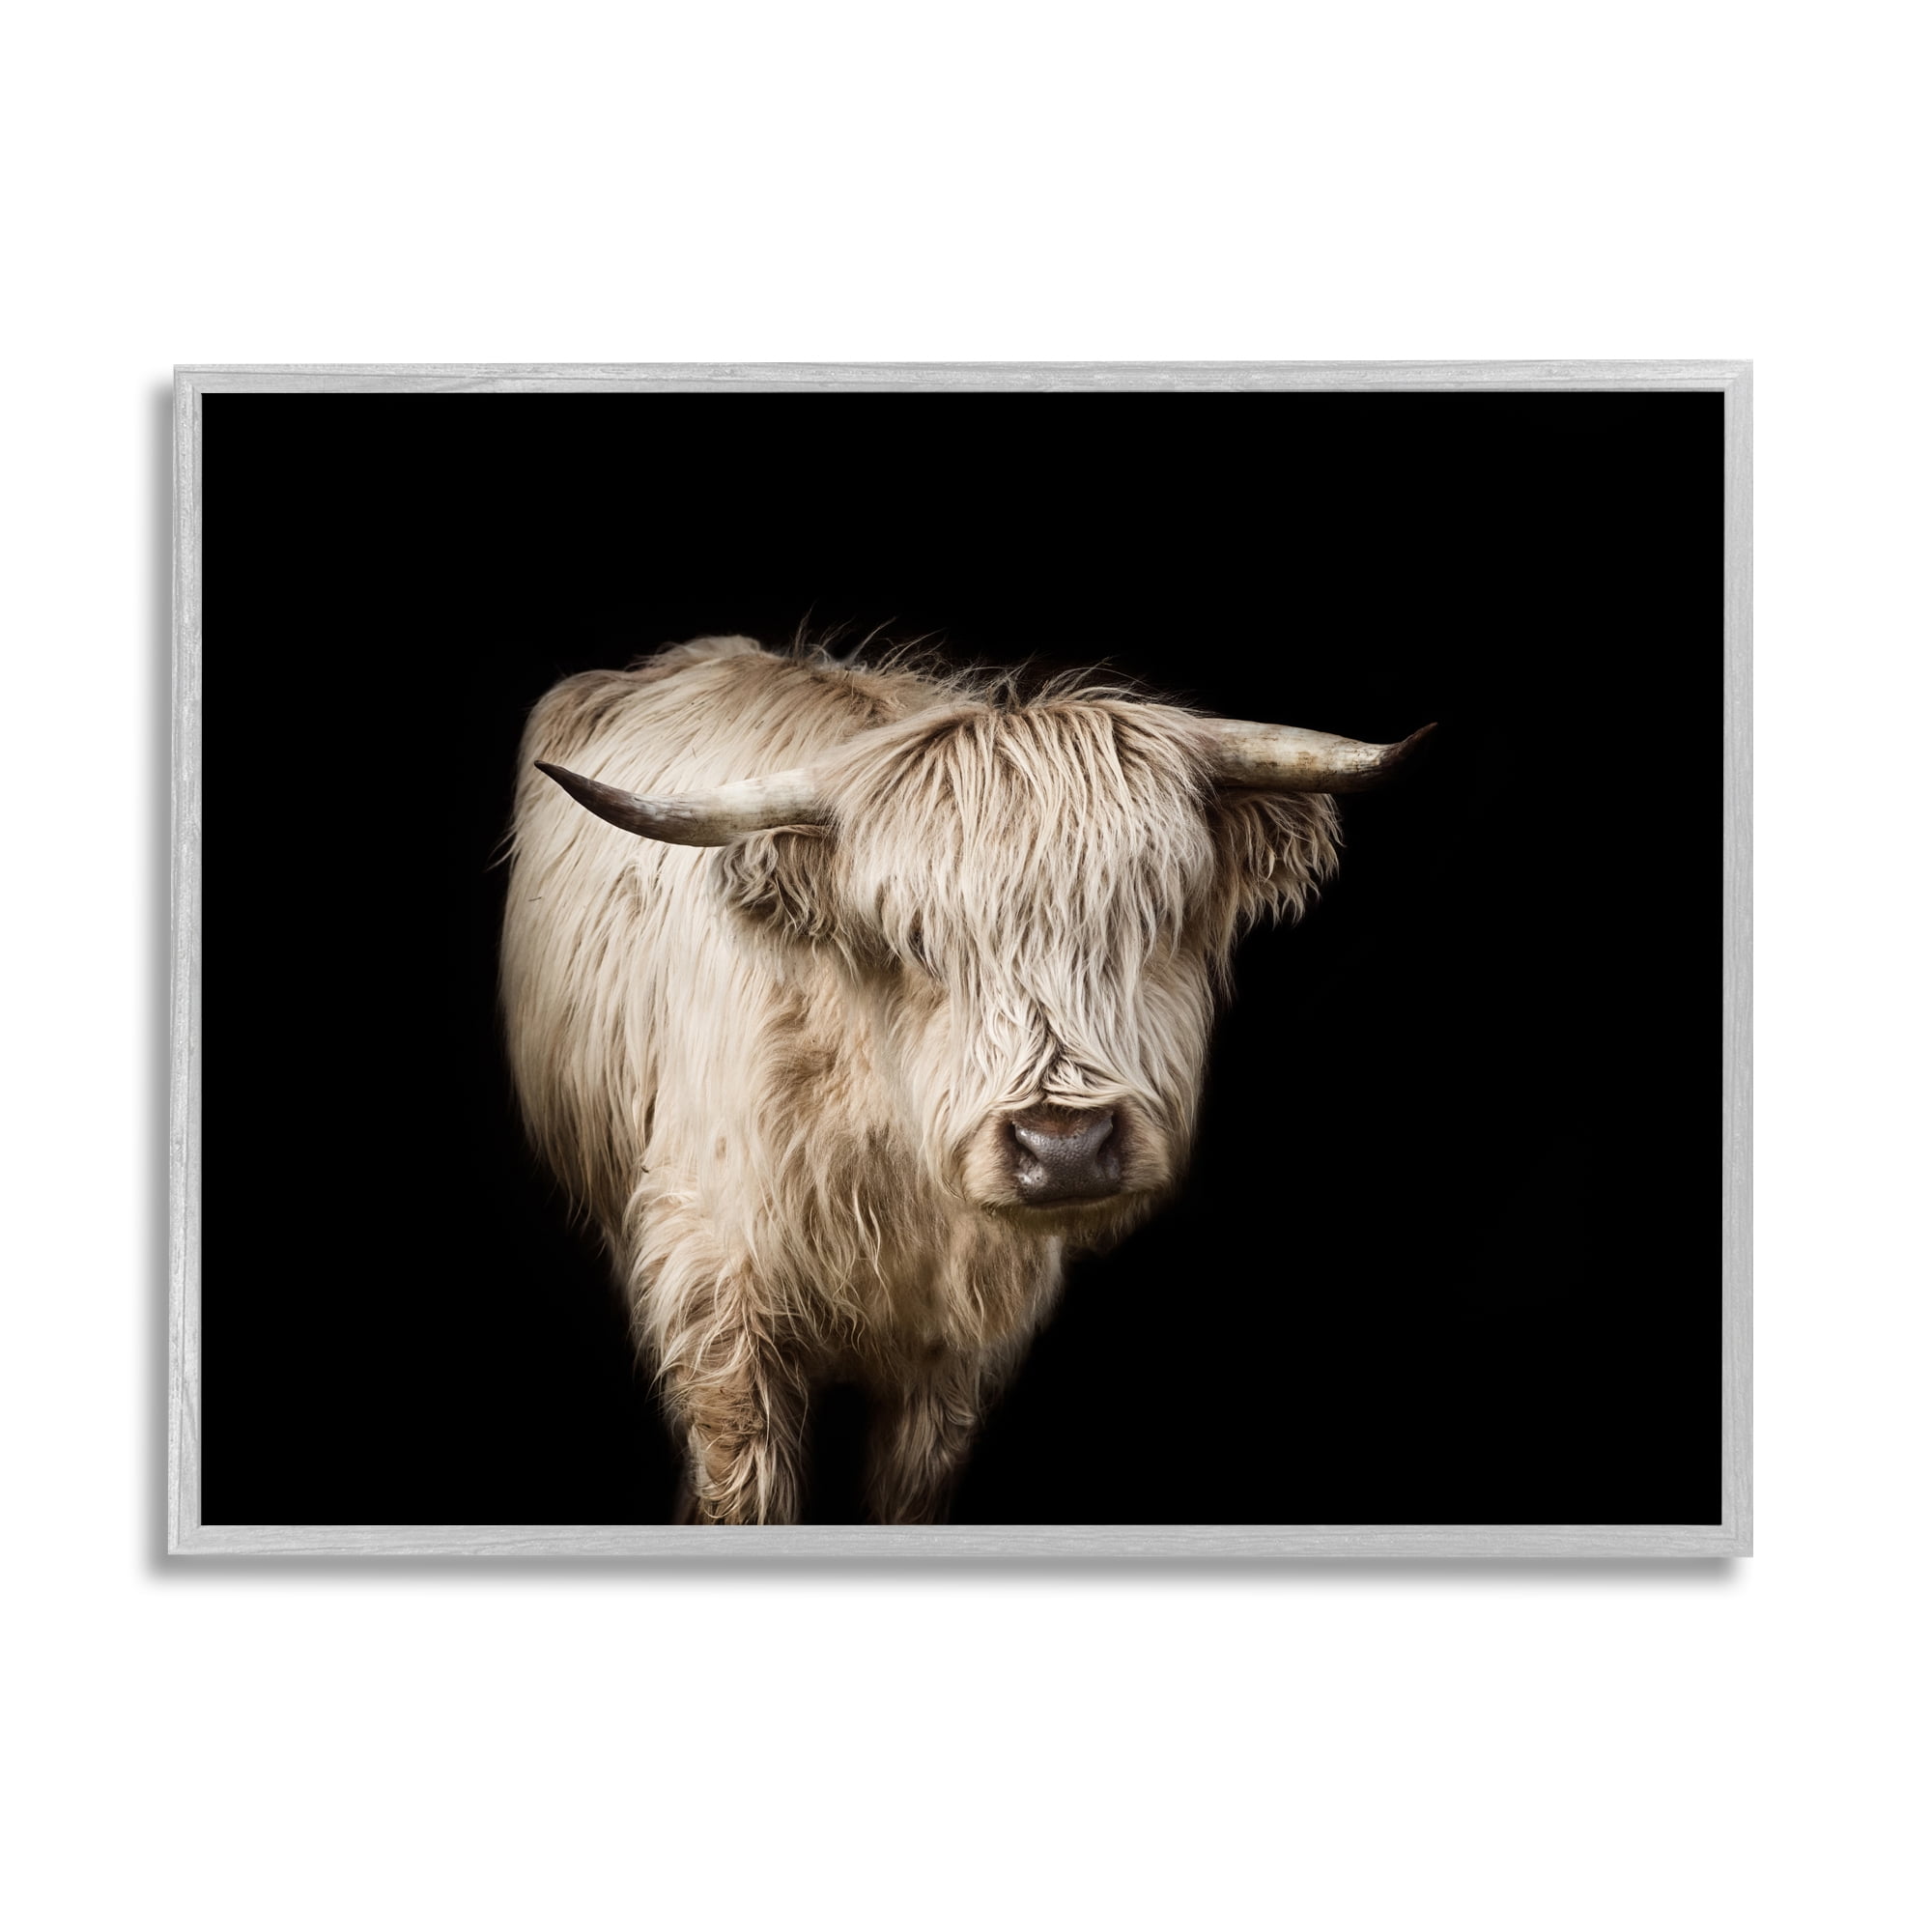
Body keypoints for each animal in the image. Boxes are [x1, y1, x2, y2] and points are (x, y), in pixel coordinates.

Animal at [501, 634, 1430, 1524]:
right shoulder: (715, 1298)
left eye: (1155, 918)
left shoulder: (958, 1352)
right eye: (915, 941)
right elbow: (744, 1486)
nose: (1064, 1148)